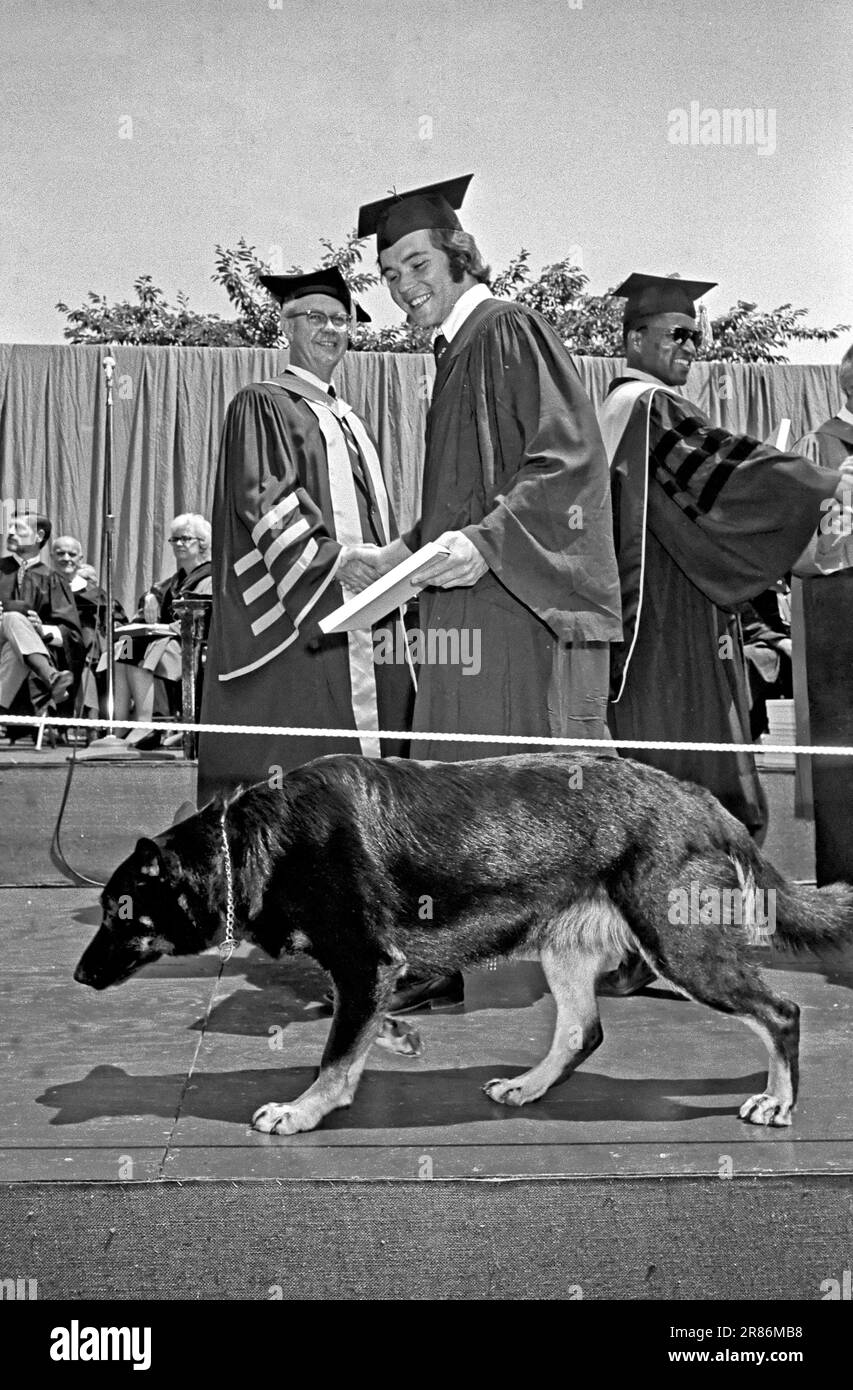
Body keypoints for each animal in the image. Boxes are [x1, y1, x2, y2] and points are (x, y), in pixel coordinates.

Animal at [75, 756, 853, 1134]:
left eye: (118, 913)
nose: (79, 977)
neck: (249, 845)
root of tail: (708, 804)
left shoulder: (365, 961)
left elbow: (334, 1054)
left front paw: (305, 1111)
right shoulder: (366, 972)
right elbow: (354, 1026)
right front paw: (392, 1038)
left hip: (682, 948)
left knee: (781, 1013)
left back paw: (777, 1101)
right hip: (565, 950)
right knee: (582, 1032)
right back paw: (528, 1085)